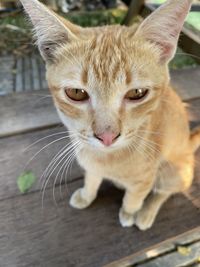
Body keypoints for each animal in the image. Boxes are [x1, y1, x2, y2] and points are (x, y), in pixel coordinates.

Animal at [19, 0, 200, 230]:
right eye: (76, 93)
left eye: (137, 93)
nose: (107, 137)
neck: (106, 159)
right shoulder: (91, 166)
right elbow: (92, 179)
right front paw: (87, 195)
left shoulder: (146, 177)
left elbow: (135, 196)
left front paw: (129, 212)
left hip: (174, 172)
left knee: (163, 192)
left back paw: (146, 213)